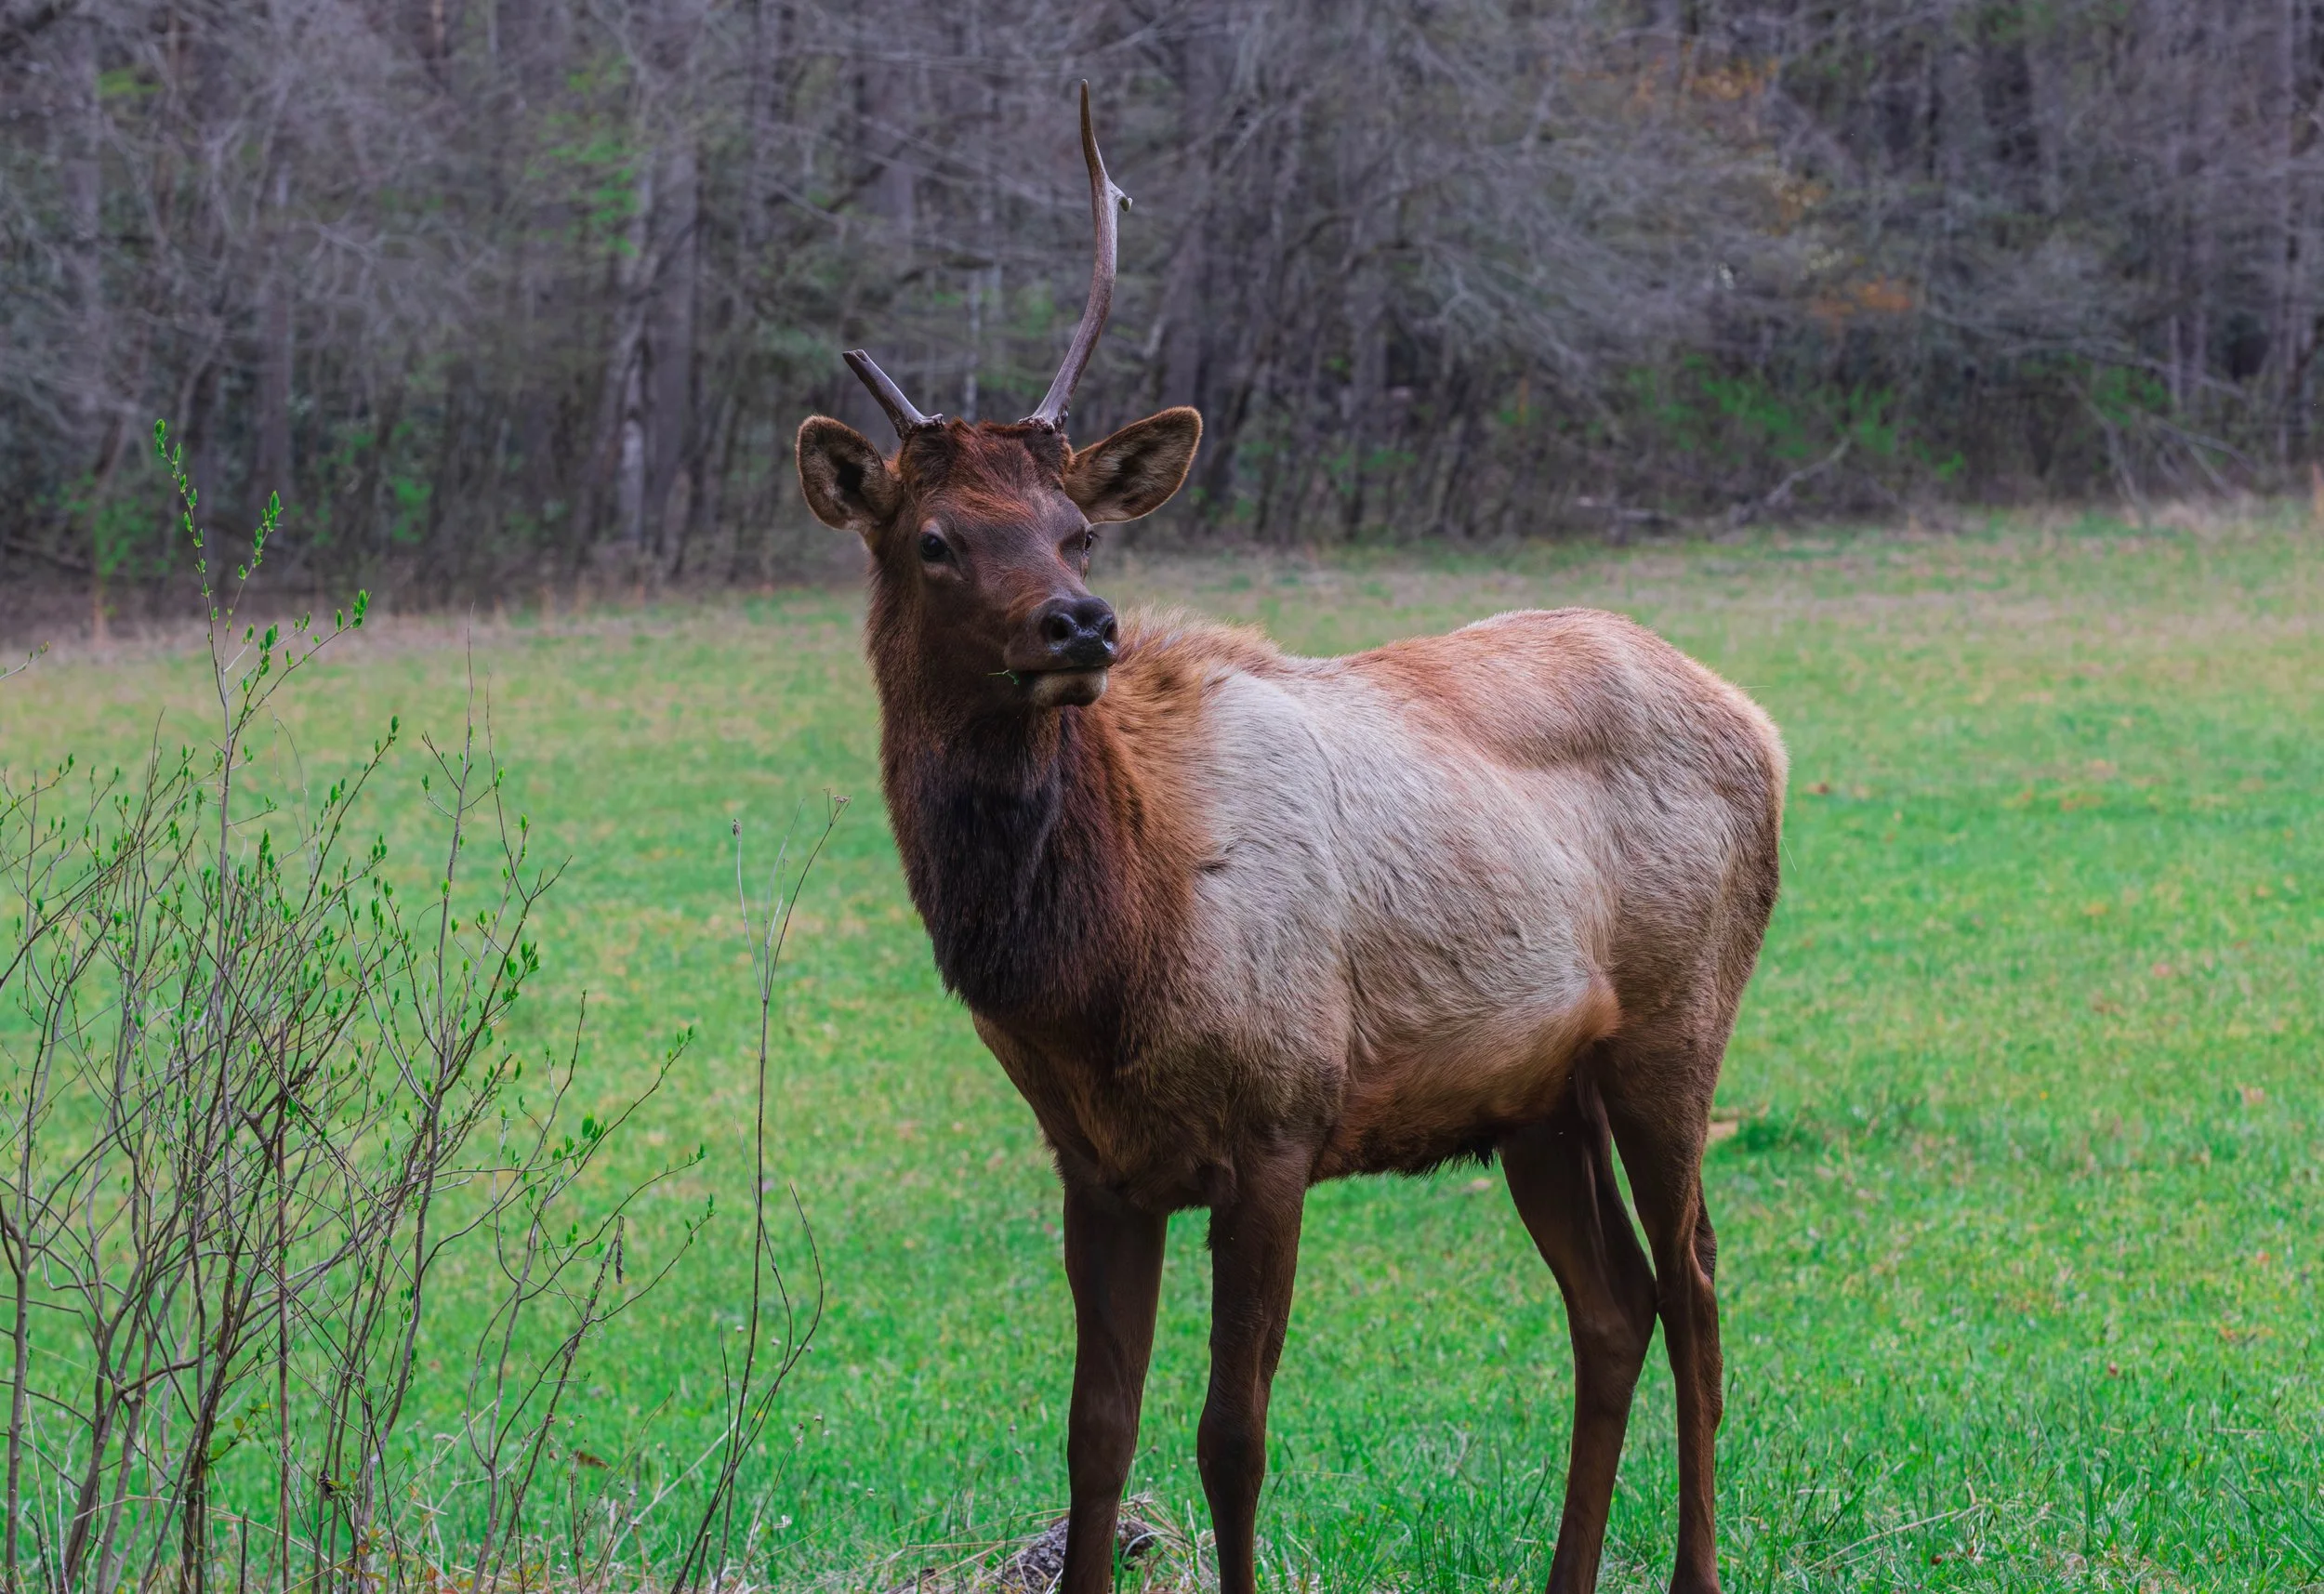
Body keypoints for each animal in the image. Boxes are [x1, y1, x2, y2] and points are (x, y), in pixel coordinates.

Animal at [793, 86, 1785, 1594]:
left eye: (1079, 528)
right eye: (934, 539)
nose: (1082, 623)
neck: (1101, 960)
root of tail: (1761, 720)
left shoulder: (1277, 1119)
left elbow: (1232, 1435)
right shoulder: (1098, 1163)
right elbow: (1094, 1430)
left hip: (1677, 1024)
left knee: (1700, 1294)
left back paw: (1692, 1568)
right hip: (1539, 1095)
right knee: (1612, 1307)